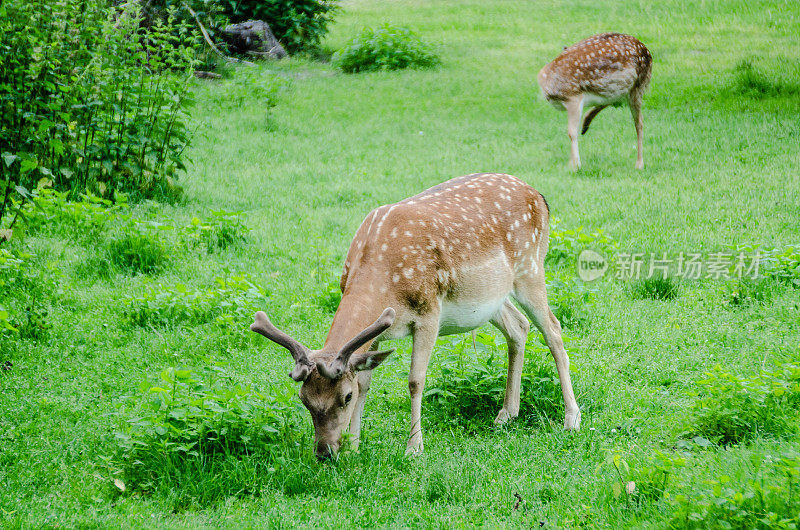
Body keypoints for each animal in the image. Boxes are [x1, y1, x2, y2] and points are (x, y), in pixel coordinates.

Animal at [252, 173, 580, 458]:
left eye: (344, 397)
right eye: (304, 400)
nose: (325, 452)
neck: (383, 276)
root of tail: (540, 197)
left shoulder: (429, 312)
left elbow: (415, 380)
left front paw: (414, 447)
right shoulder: (378, 331)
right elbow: (366, 381)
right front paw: (356, 445)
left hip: (531, 268)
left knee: (553, 330)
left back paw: (571, 418)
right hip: (492, 298)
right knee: (518, 327)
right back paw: (506, 414)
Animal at [536, 31, 656, 170]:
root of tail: (647, 51)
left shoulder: (573, 96)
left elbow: (571, 132)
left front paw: (575, 166)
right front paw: (573, 163)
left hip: (639, 85)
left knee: (639, 122)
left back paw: (639, 163)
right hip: (620, 89)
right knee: (614, 100)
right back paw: (586, 123)